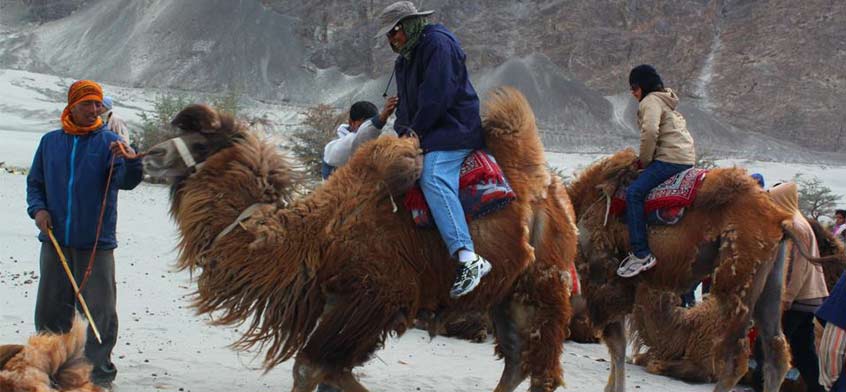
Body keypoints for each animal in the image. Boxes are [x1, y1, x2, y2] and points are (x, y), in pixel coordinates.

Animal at [142, 89, 580, 392]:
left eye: (200, 143)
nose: (149, 155)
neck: (316, 237)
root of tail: (551, 185)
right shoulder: (338, 298)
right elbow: (324, 371)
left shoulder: (374, 295)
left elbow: (312, 366)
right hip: (506, 294)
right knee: (517, 360)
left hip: (544, 281)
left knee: (541, 369)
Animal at [568, 149, 812, 390]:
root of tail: (779, 221)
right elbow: (617, 344)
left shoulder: (601, 275)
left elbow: (616, 343)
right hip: (771, 278)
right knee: (775, 351)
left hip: (739, 275)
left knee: (736, 356)